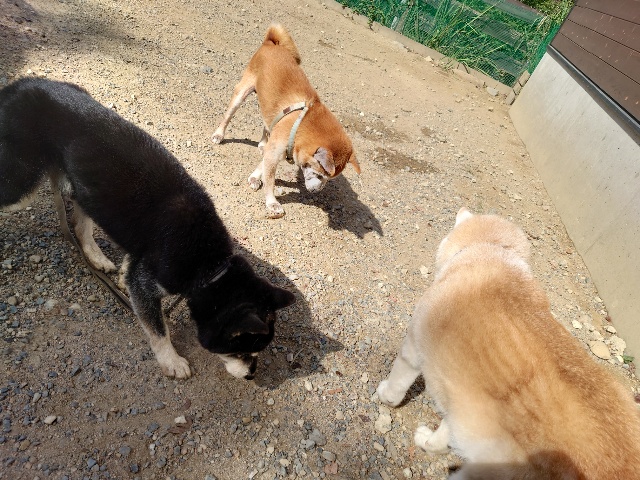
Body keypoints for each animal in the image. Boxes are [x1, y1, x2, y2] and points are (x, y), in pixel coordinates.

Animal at [0, 78, 295, 380]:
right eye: (241, 351)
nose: (251, 375)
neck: (209, 265)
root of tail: (22, 83)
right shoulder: (149, 286)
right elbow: (158, 329)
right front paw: (171, 360)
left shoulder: (142, 258)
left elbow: (132, 267)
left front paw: (122, 276)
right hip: (21, 185)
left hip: (83, 187)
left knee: (80, 226)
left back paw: (95, 256)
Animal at [212, 24, 360, 218]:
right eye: (321, 175)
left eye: (329, 178)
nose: (316, 191)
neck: (300, 123)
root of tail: (271, 43)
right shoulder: (275, 152)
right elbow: (270, 180)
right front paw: (272, 203)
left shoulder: (274, 151)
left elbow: (263, 166)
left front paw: (255, 177)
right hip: (241, 93)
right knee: (228, 116)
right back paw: (219, 135)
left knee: (266, 124)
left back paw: (262, 143)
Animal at [377, 208, 640, 479]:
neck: (492, 252)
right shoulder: (466, 412)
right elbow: (444, 438)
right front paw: (429, 443)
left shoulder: (413, 347)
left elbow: (397, 384)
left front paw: (385, 396)